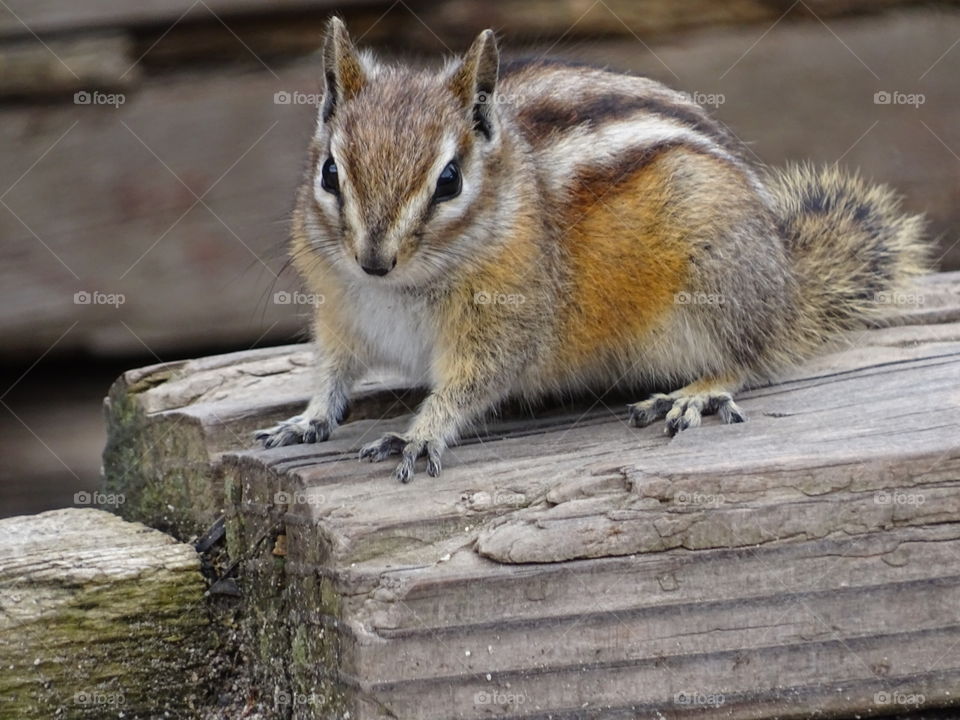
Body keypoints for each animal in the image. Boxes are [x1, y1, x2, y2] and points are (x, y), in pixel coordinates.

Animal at [255, 17, 929, 483]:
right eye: (330, 174)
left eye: (449, 181)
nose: (373, 260)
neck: (395, 290)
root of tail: (788, 284)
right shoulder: (341, 309)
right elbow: (334, 369)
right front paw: (309, 417)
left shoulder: (506, 321)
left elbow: (472, 384)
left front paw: (420, 434)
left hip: (715, 279)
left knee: (749, 354)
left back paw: (697, 393)